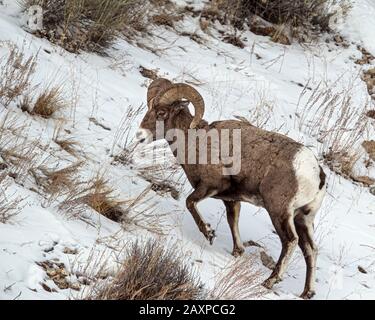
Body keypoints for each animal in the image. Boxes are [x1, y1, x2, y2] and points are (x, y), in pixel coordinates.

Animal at [137, 79, 328, 298]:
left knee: (290, 241)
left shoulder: (209, 187)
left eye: (161, 113)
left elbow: (190, 203)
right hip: (303, 217)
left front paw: (209, 233)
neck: (196, 141)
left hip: (279, 212)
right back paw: (307, 292)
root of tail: (316, 174)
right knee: (311, 249)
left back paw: (270, 281)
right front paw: (238, 252)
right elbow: (232, 221)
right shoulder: (231, 200)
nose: (140, 135)